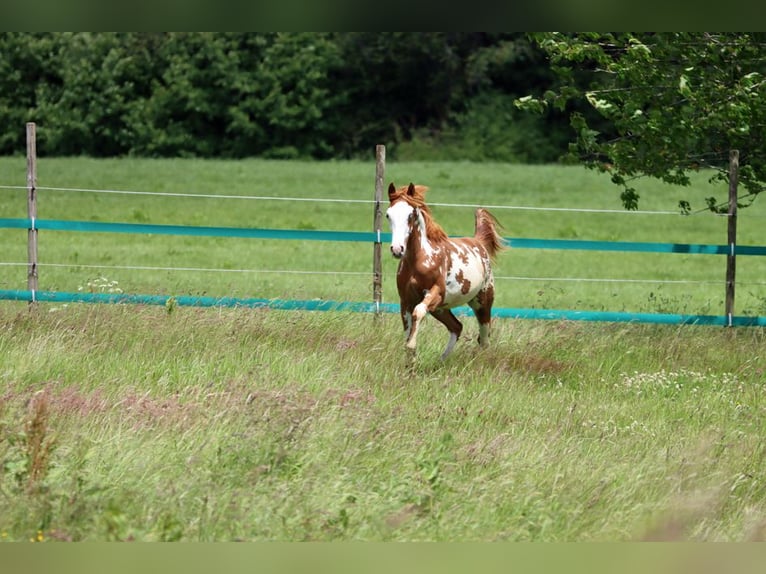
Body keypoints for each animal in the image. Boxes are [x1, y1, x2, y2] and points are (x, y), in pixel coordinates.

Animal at [385, 182, 505, 362]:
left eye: (410, 214)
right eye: (388, 215)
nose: (397, 249)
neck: (420, 260)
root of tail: (479, 242)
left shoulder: (435, 294)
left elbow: (418, 312)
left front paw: (412, 347)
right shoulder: (405, 301)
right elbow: (408, 329)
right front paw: (410, 362)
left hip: (482, 301)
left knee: (484, 339)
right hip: (440, 309)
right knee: (457, 327)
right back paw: (441, 361)